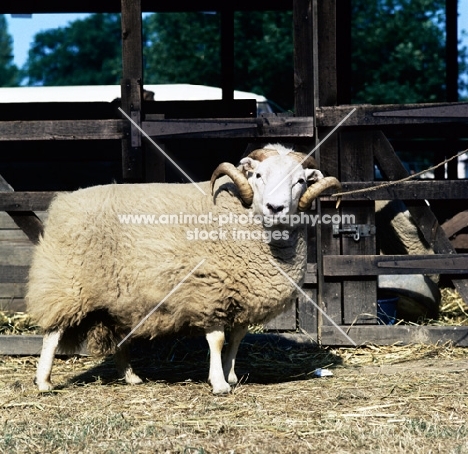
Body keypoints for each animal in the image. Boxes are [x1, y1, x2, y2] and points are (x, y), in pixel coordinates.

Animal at [27, 143, 340, 394]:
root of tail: (63, 202)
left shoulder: (242, 295)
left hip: (116, 297)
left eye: (300, 180)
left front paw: (231, 375)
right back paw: (43, 382)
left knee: (118, 339)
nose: (276, 208)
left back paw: (131, 377)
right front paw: (219, 384)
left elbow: (237, 338)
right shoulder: (209, 290)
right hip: (67, 281)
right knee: (52, 334)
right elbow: (217, 339)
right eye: (259, 176)